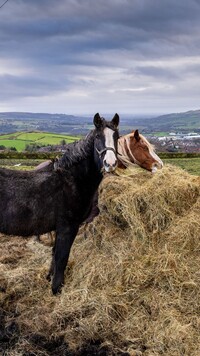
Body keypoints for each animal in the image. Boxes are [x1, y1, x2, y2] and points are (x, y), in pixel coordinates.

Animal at [0, 112, 119, 294]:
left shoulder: (58, 228)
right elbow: (62, 257)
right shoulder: (67, 227)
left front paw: (50, 278)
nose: (110, 164)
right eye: (98, 137)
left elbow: (55, 254)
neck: (71, 180)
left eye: (116, 136)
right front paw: (57, 289)